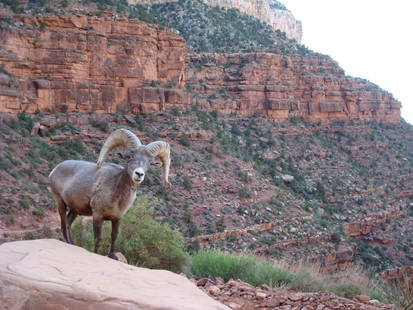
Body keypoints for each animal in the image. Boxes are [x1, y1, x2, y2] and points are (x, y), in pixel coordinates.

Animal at [48, 128, 171, 260]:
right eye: (129, 156)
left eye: (150, 162)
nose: (139, 174)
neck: (117, 197)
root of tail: (55, 170)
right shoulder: (97, 216)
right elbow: (98, 239)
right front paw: (96, 253)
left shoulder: (117, 218)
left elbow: (114, 236)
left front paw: (112, 256)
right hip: (60, 202)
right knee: (63, 226)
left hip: (75, 210)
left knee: (68, 225)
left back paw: (73, 244)